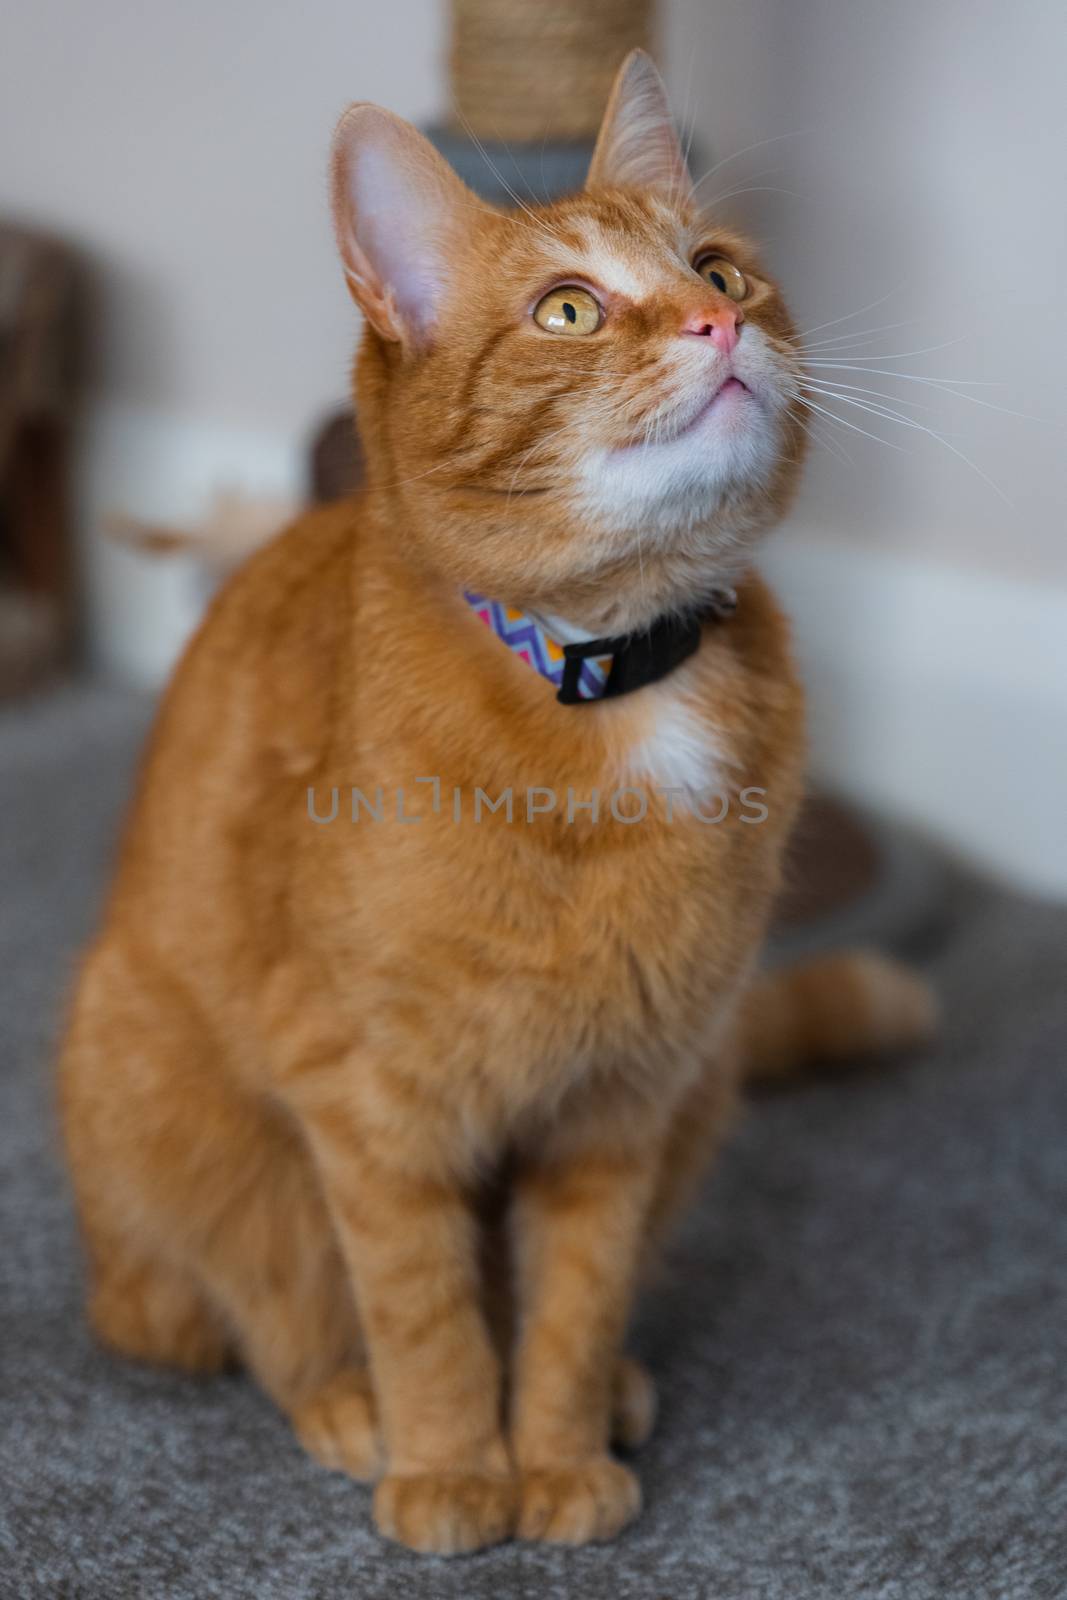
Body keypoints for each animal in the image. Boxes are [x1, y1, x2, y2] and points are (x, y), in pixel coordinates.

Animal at [62, 56, 940, 1555]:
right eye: (568, 309)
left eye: (718, 269)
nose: (714, 320)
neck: (605, 677)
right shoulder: (373, 1106)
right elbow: (421, 1309)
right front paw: (452, 1465)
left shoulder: (618, 1108)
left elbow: (573, 1301)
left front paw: (557, 1449)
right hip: (166, 1102)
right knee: (230, 1306)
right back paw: (343, 1403)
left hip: (705, 1080)